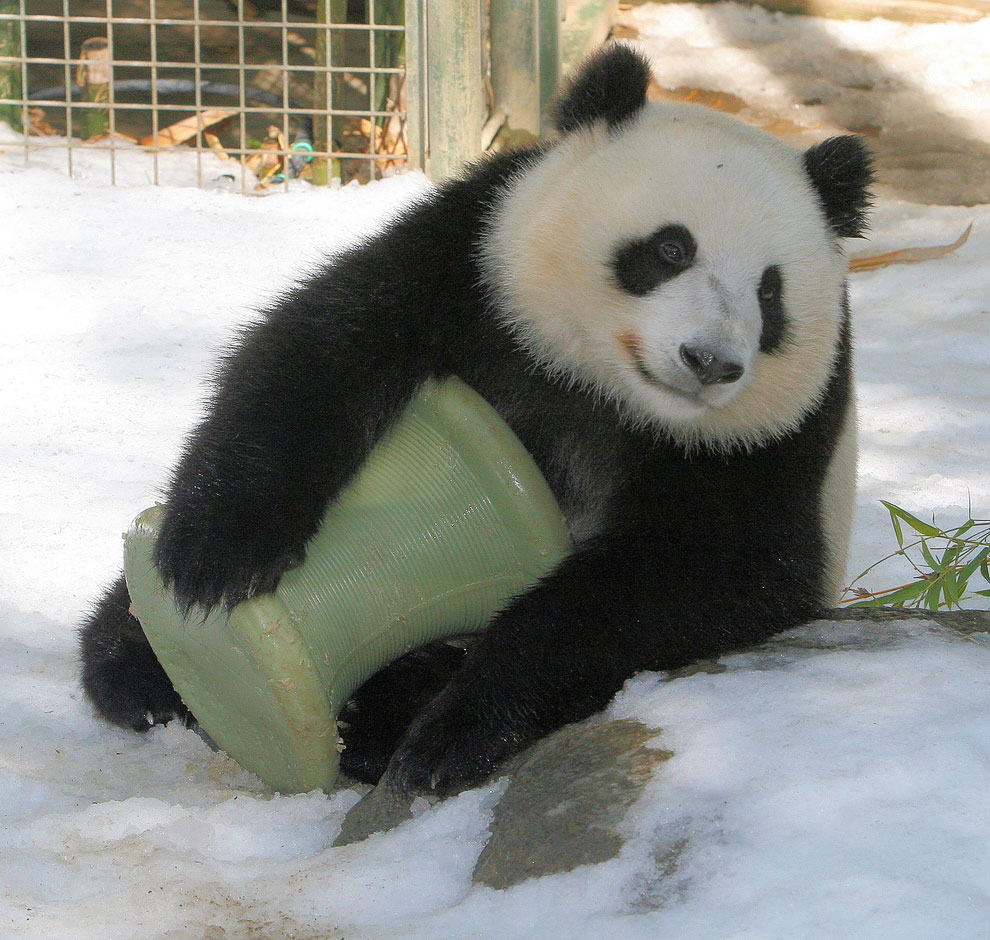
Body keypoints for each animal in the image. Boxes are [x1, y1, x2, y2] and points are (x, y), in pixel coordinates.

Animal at [79, 44, 876, 792]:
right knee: (126, 622)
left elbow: (711, 569)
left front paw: (456, 730)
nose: (710, 361)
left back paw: (377, 716)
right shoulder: (475, 260)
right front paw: (217, 559)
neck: (606, 389)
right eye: (670, 248)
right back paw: (138, 665)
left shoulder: (772, 439)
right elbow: (323, 347)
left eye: (770, 293)